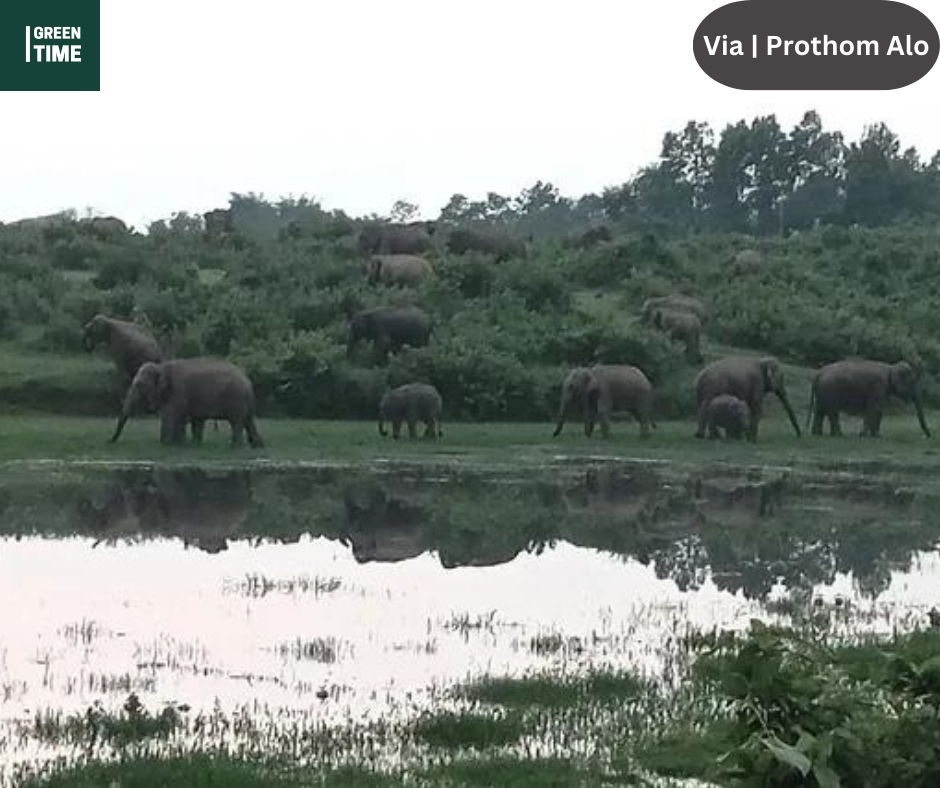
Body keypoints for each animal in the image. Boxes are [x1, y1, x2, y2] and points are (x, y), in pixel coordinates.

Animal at [109, 359, 264, 448]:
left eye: (139, 385)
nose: (109, 442)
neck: (162, 367)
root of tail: (248, 381)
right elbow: (193, 420)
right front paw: (187, 444)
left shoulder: (178, 392)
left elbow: (171, 416)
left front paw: (166, 445)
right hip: (244, 402)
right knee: (248, 421)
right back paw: (257, 446)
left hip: (237, 400)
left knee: (237, 422)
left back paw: (234, 446)